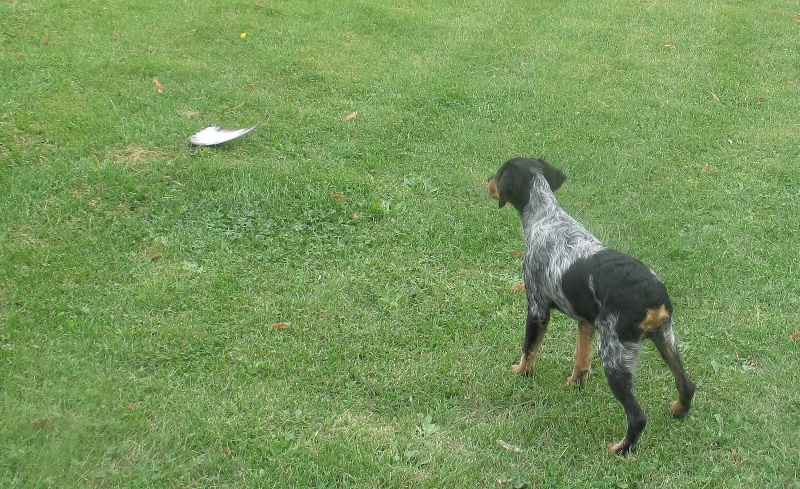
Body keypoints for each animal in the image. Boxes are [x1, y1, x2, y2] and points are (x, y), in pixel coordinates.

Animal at [488, 157, 695, 454]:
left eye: (498, 174)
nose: (487, 181)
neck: (546, 217)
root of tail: (652, 295)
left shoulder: (537, 308)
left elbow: (529, 350)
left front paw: (519, 372)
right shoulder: (585, 321)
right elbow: (580, 359)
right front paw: (574, 384)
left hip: (613, 354)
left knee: (637, 416)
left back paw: (620, 449)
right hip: (664, 338)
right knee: (687, 384)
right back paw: (678, 411)